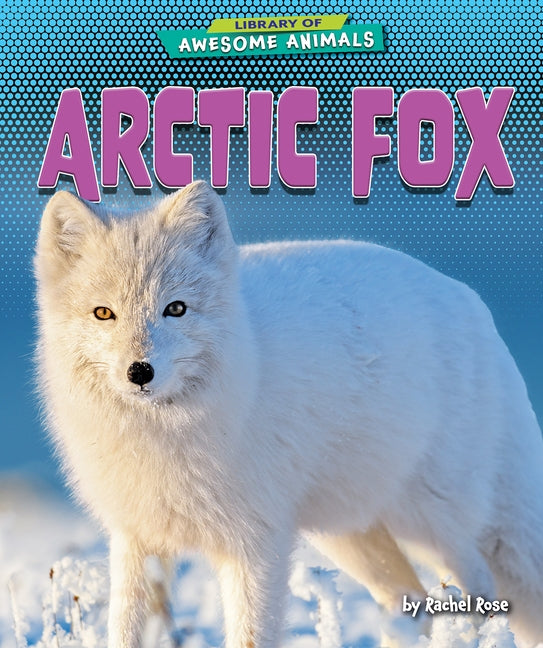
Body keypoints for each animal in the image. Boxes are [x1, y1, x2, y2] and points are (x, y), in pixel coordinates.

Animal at [35, 180, 543, 648]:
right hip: (352, 538)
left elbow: (250, 637)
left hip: (431, 523)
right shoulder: (136, 537)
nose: (140, 371)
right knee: (408, 601)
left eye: (175, 308)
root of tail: (472, 304)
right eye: (104, 313)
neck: (162, 433)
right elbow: (125, 630)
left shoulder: (256, 544)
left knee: (480, 594)